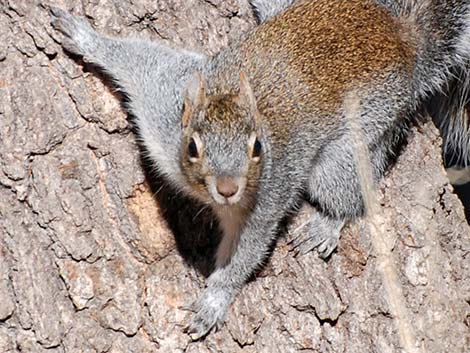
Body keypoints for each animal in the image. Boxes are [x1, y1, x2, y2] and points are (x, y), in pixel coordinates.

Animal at [50, 0, 470, 340]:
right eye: (192, 147)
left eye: (258, 149)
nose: (228, 189)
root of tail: (402, 38)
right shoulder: (164, 99)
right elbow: (138, 59)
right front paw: (82, 35)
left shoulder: (267, 196)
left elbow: (247, 250)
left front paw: (215, 301)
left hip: (350, 142)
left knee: (355, 185)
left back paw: (327, 224)